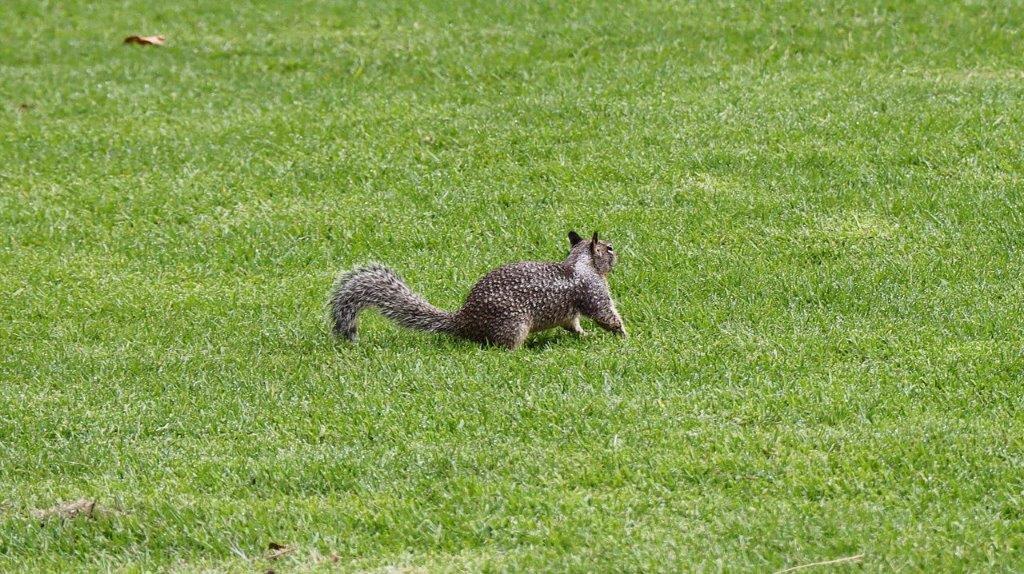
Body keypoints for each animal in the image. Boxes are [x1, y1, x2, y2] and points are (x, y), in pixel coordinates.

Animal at [327, 229, 622, 349]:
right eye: (608, 248)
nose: (617, 254)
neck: (580, 263)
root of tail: (463, 321)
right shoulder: (593, 292)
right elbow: (605, 315)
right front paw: (622, 334)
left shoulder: (569, 312)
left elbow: (572, 323)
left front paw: (584, 335)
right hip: (513, 324)